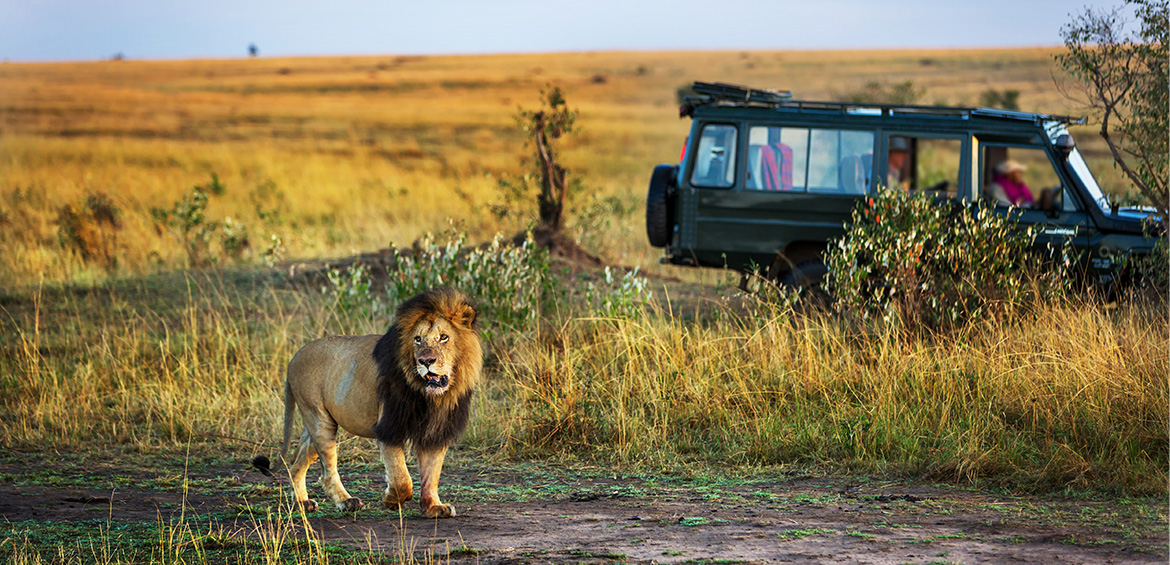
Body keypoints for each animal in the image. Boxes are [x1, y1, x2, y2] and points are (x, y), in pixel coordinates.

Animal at [280, 286, 482, 518]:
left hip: (314, 425)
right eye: (418, 339)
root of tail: (294, 357)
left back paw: (302, 503)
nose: (425, 361)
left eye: (444, 337)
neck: (432, 398)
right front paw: (392, 500)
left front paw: (433, 507)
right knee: (327, 471)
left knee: (296, 465)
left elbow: (431, 474)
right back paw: (347, 502)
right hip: (319, 419)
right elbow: (402, 478)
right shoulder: (388, 427)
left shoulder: (436, 431)